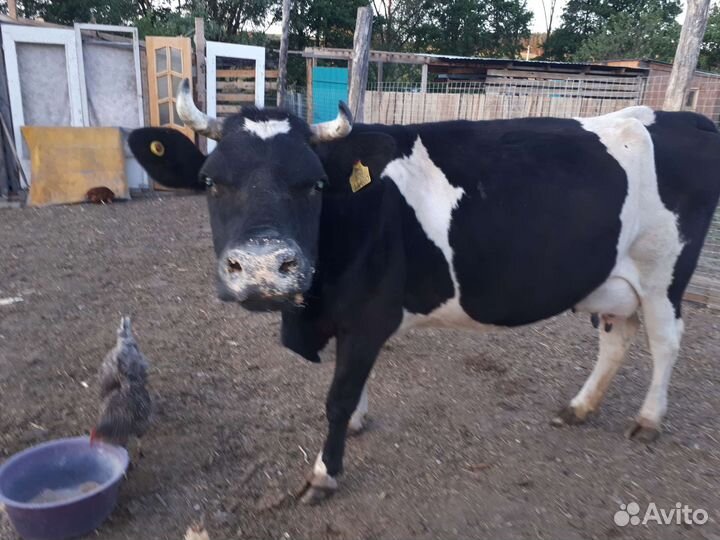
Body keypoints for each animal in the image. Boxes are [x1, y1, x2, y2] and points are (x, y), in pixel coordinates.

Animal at [129, 79, 720, 504]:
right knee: (615, 339)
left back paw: (648, 420)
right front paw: (360, 422)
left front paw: (324, 472)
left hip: (664, 275)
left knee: (665, 342)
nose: (261, 269)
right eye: (210, 181)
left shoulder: (369, 314)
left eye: (314, 183)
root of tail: (682, 117)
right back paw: (580, 407)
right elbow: (351, 387)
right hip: (612, 280)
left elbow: (338, 397)